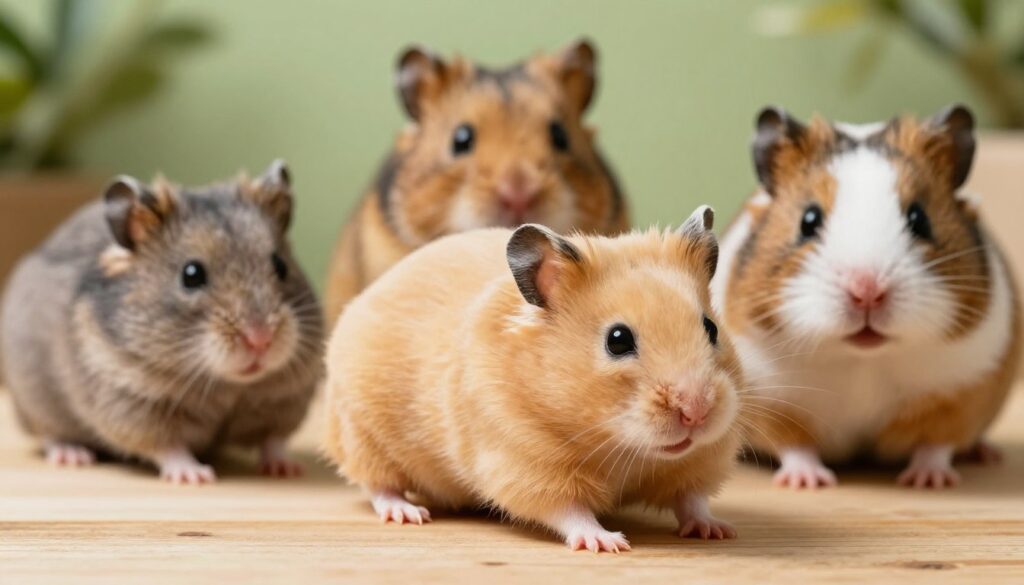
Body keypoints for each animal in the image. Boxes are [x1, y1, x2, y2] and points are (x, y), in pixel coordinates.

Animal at [0, 161, 324, 484]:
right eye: (191, 274)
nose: (261, 339)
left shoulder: (285, 401)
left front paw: (289, 469)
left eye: (281, 266)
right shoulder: (131, 404)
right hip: (33, 398)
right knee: (47, 434)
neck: (227, 385)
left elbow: (274, 440)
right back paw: (73, 456)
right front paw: (195, 477)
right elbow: (168, 446)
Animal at [324, 207, 743, 553]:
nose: (697, 412)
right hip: (361, 433)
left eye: (710, 328)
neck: (623, 449)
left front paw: (716, 530)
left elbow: (691, 499)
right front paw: (608, 542)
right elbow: (568, 509)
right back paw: (407, 513)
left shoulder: (700, 458)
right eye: (618, 340)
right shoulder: (524, 462)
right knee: (377, 483)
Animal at [713, 104, 1020, 489]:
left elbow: (936, 443)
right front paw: (809, 482)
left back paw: (986, 454)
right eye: (808, 220)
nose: (867, 292)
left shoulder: (963, 392)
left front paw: (927, 481)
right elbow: (794, 445)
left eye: (919, 219)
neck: (862, 359)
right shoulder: (774, 400)